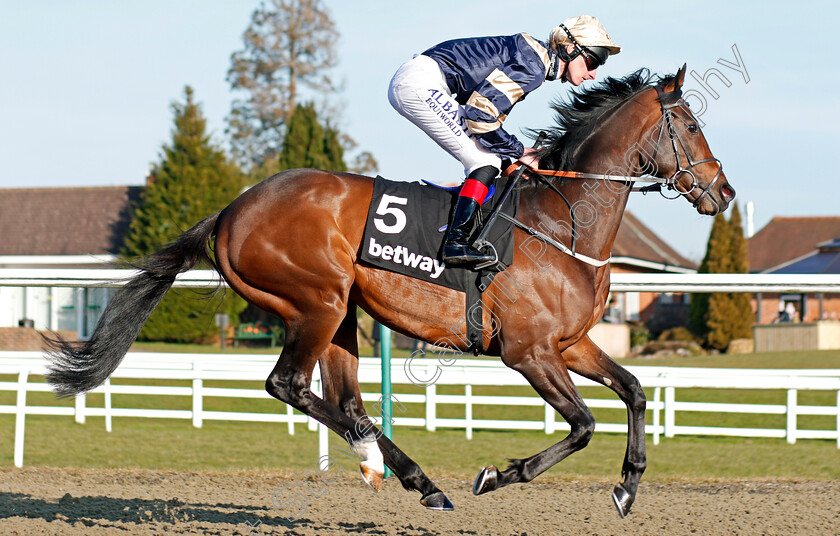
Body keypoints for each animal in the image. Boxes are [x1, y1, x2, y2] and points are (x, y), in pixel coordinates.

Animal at [46, 63, 732, 520]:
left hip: (342, 311)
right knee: (288, 385)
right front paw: (499, 474)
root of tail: (231, 211)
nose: (722, 193)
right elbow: (584, 423)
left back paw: (406, 473)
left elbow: (635, 392)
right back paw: (390, 464)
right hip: (316, 301)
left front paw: (628, 486)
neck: (562, 221)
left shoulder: (569, 344)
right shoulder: (528, 352)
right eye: (688, 122)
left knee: (340, 396)